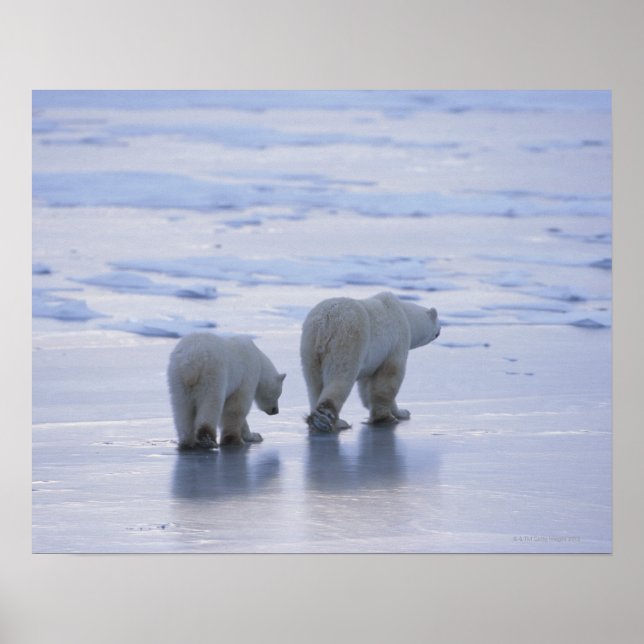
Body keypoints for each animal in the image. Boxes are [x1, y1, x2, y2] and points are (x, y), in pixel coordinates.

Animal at [300, 291, 440, 432]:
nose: (439, 331)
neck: (405, 315)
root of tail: (324, 323)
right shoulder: (396, 342)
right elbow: (389, 379)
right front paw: (390, 416)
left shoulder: (372, 358)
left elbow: (366, 386)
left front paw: (397, 411)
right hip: (348, 339)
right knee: (340, 377)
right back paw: (331, 420)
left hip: (309, 349)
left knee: (314, 385)